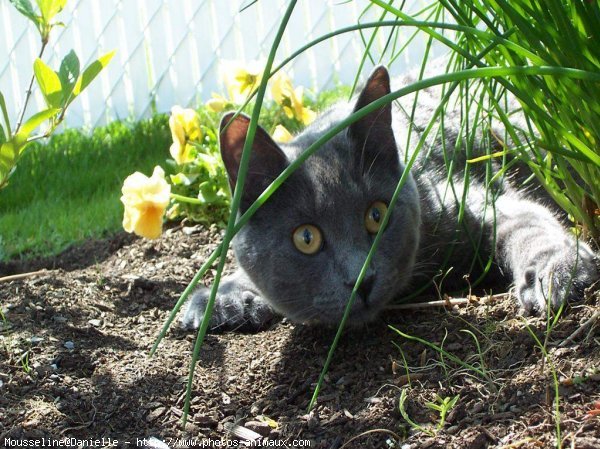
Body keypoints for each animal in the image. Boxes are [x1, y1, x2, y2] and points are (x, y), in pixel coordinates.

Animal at [180, 65, 596, 328]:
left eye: (376, 215)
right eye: (306, 238)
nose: (361, 280)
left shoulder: (473, 195)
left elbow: (529, 224)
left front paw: (557, 269)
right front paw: (222, 296)